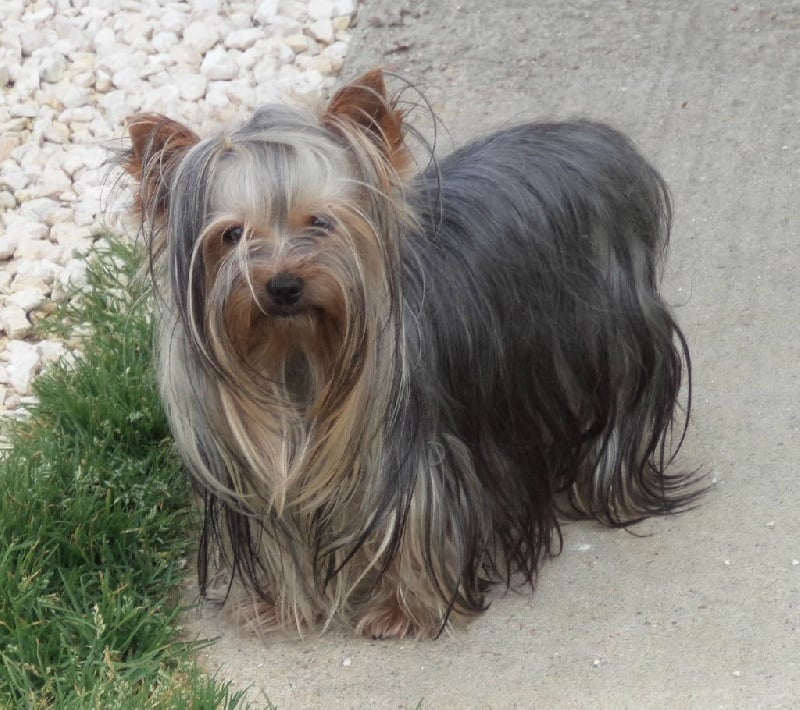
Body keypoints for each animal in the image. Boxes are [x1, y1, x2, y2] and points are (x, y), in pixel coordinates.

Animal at [123, 69, 698, 639]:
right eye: (232, 234)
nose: (282, 285)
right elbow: (278, 530)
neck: (301, 358)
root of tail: (597, 142)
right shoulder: (265, 476)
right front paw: (279, 606)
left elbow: (419, 520)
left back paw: (607, 490)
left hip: (613, 340)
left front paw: (404, 612)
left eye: (321, 222)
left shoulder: (419, 456)